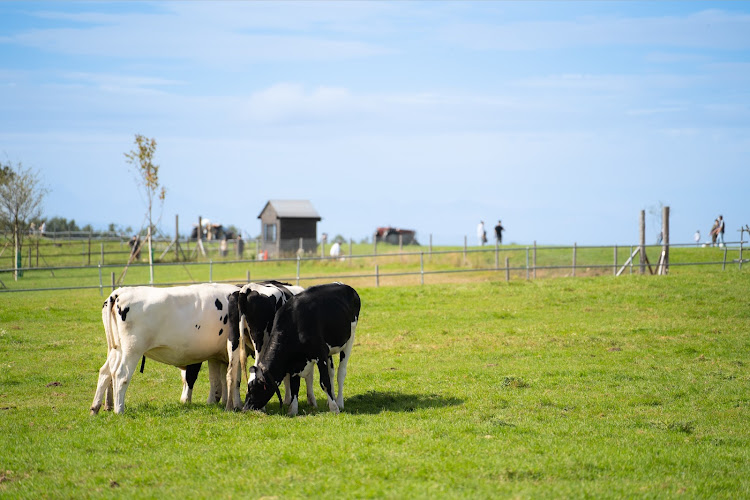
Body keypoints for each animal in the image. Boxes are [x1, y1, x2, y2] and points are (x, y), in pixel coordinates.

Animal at [90, 284, 241, 416]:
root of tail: (120, 292)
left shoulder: (216, 356)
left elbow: (218, 380)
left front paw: (219, 402)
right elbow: (234, 379)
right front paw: (237, 405)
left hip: (116, 349)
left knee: (105, 372)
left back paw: (95, 408)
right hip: (132, 350)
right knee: (121, 375)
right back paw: (119, 410)